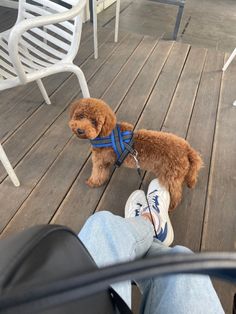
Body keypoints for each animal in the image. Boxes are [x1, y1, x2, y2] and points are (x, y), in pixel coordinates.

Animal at [68, 98, 203, 211]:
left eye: (94, 122)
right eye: (80, 116)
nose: (80, 130)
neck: (105, 135)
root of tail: (187, 149)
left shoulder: (99, 161)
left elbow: (98, 174)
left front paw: (93, 182)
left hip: (169, 177)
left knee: (175, 194)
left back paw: (170, 206)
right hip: (176, 175)